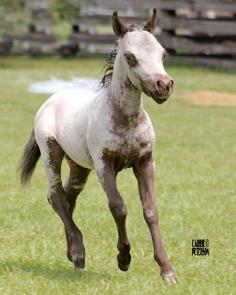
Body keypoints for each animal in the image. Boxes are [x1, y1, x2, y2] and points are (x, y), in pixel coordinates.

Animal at [18, 9, 176, 286]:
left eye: (163, 53)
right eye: (130, 57)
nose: (163, 86)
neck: (125, 120)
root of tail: (51, 99)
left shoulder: (145, 161)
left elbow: (150, 210)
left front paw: (167, 271)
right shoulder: (105, 165)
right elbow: (118, 207)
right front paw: (124, 258)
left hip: (79, 165)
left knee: (68, 196)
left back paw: (71, 252)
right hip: (51, 153)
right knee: (56, 195)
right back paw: (79, 254)